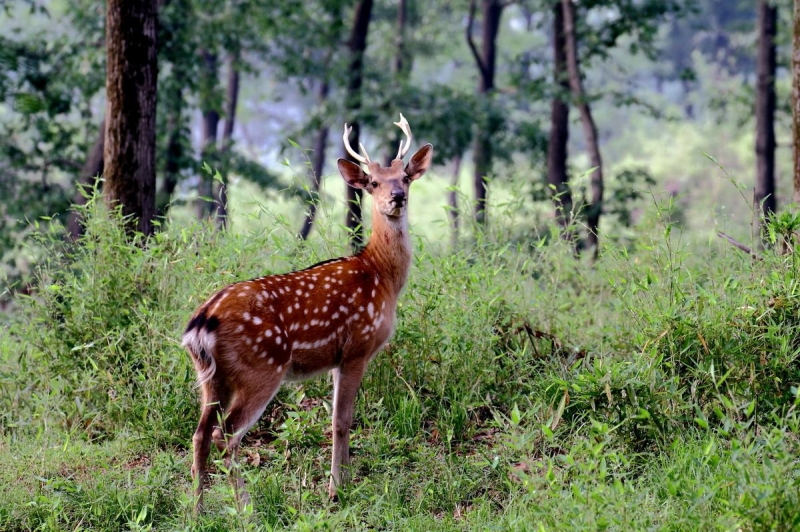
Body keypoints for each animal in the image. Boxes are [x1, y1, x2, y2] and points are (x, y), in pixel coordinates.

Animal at [183, 114, 432, 510]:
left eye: (405, 176)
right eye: (373, 182)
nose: (397, 197)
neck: (381, 276)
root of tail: (201, 323)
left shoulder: (336, 358)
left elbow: (336, 418)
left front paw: (344, 481)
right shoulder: (357, 346)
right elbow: (342, 420)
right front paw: (336, 490)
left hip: (210, 377)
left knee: (199, 434)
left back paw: (197, 509)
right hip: (261, 369)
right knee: (227, 435)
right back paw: (246, 507)